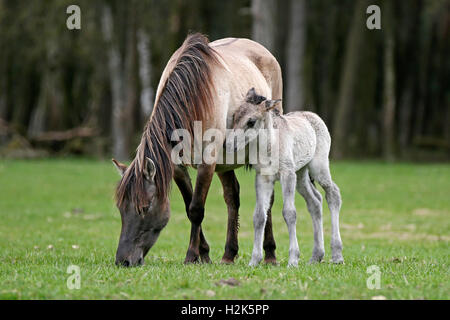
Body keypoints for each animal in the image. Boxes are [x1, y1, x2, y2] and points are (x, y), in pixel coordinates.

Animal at [111, 33, 282, 268]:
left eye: (145, 207)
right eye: (120, 209)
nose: (123, 261)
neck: (193, 98)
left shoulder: (207, 164)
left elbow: (196, 209)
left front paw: (191, 255)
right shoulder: (177, 168)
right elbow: (189, 206)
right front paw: (204, 254)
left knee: (268, 199)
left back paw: (270, 254)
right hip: (224, 165)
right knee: (232, 198)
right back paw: (229, 254)